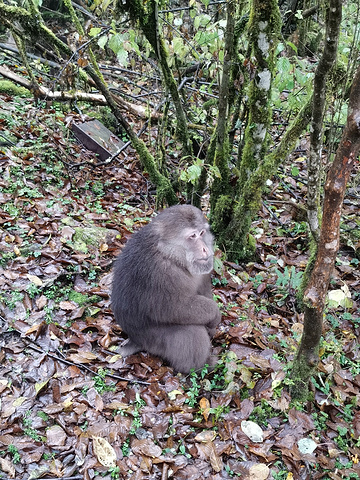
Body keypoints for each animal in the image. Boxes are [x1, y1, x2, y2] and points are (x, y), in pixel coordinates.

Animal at [111, 204, 221, 374]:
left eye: (202, 233)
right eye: (192, 236)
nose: (204, 249)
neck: (172, 256)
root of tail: (135, 339)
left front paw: (212, 326)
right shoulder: (162, 274)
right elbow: (174, 308)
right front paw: (215, 314)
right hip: (154, 340)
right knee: (192, 332)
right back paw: (201, 367)